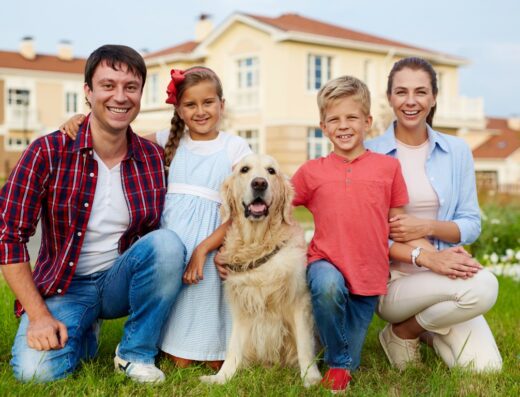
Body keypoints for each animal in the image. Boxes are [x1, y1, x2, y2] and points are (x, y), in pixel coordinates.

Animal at [199, 154, 320, 386]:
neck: (257, 242)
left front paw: (311, 378)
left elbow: (304, 346)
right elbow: (233, 346)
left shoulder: (300, 301)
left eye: (271, 171)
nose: (259, 183)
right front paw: (222, 377)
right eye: (244, 169)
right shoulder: (241, 305)